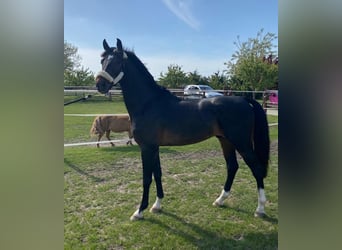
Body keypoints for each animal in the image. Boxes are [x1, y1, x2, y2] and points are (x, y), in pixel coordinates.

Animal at [95, 38, 270, 221]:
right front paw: (157, 205)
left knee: (256, 168)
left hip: (241, 142)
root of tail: (244, 100)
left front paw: (139, 211)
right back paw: (220, 200)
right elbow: (157, 173)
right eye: (102, 61)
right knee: (232, 166)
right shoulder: (154, 148)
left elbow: (146, 178)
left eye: (117, 61)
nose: (100, 84)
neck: (149, 104)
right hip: (225, 140)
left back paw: (260, 209)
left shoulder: (147, 148)